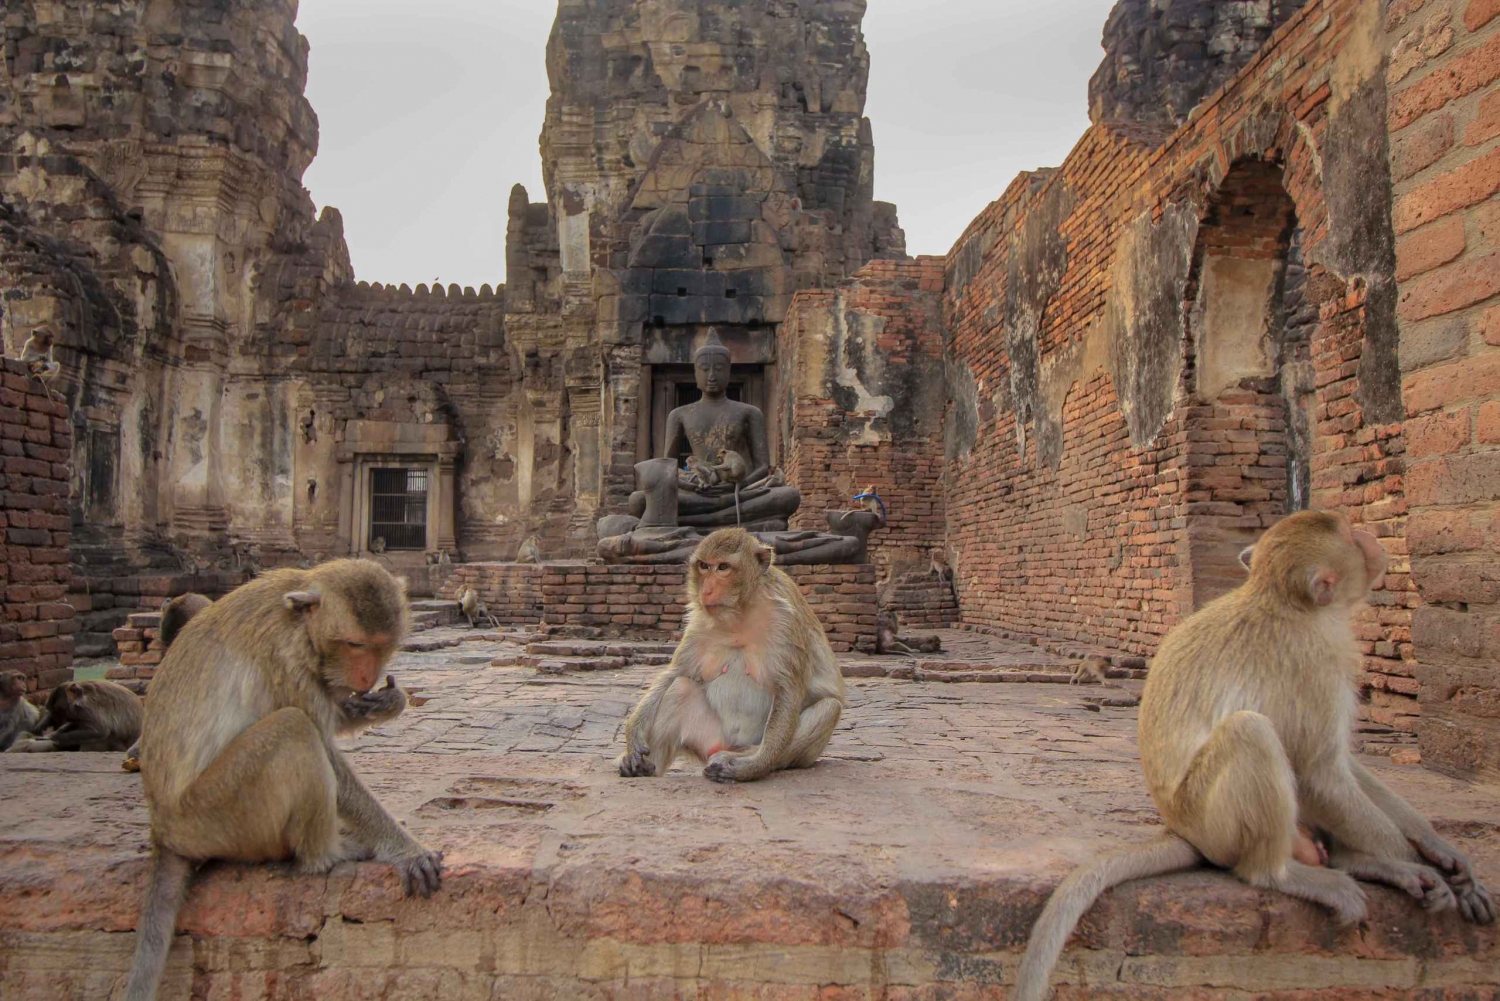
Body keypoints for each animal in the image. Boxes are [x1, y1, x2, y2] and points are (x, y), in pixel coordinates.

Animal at [122, 561, 438, 1001]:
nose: (366, 676)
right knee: (293, 728)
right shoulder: (285, 657)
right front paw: (407, 850)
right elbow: (325, 749)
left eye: (380, 646)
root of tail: (163, 832)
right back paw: (327, 854)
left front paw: (389, 702)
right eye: (354, 644)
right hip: (215, 815)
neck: (302, 622)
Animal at [612, 528, 846, 786]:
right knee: (680, 687)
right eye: (704, 566)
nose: (706, 590)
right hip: (708, 737)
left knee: (829, 707)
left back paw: (743, 758)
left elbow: (789, 690)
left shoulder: (786, 621)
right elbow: (676, 672)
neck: (740, 613)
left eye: (723, 567)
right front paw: (633, 734)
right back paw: (645, 766)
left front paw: (754, 767)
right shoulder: (698, 624)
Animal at [1014, 513, 1494, 1001]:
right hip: (1211, 818)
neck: (1283, 601)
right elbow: (1320, 773)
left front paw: (1439, 851)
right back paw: (1284, 874)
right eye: (1350, 537)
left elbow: (1339, 765)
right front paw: (1416, 870)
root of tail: (1179, 828)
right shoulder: (1317, 660)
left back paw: (1353, 861)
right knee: (1252, 733)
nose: (1371, 541)